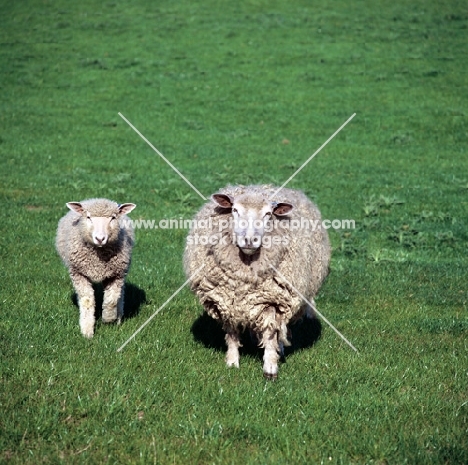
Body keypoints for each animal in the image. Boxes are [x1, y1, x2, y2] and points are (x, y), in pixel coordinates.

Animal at [55, 197, 135, 338]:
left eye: (113, 218)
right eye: (88, 217)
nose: (100, 238)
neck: (98, 259)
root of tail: (93, 199)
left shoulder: (116, 274)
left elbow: (112, 299)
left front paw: (108, 319)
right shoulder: (78, 274)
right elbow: (87, 301)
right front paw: (87, 330)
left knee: (120, 294)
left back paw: (118, 318)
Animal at [182, 183, 330, 378]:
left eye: (268, 214)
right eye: (235, 210)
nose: (249, 240)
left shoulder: (273, 299)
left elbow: (271, 332)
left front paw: (270, 366)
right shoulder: (225, 301)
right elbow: (232, 332)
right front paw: (232, 361)